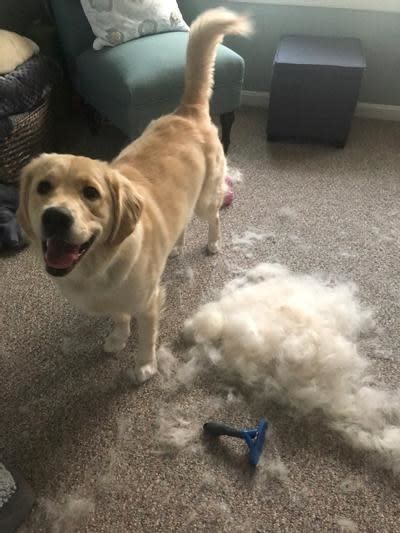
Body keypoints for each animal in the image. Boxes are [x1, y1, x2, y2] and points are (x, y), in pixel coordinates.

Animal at [18, 8, 252, 382]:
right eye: (43, 187)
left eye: (91, 193)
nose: (55, 217)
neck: (97, 267)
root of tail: (186, 111)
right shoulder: (116, 301)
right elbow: (118, 318)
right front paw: (116, 339)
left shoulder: (148, 303)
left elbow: (146, 337)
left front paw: (144, 366)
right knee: (181, 225)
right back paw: (176, 247)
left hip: (206, 199)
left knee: (213, 217)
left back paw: (213, 243)